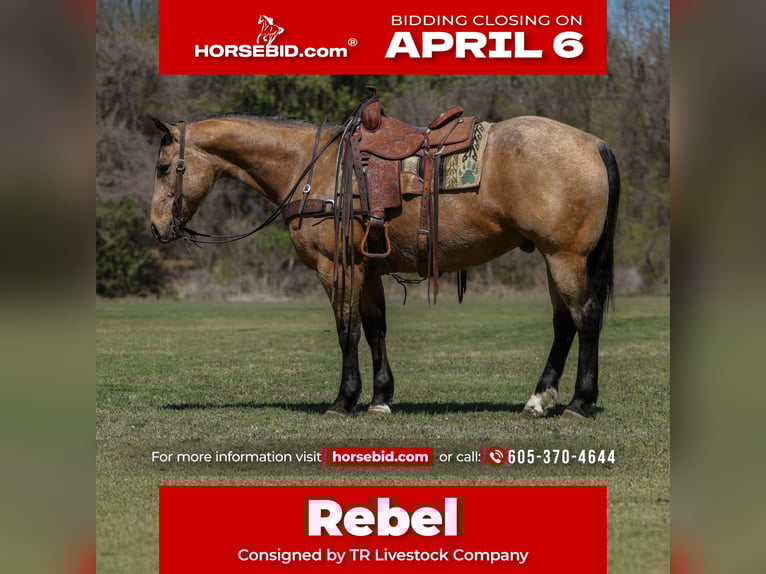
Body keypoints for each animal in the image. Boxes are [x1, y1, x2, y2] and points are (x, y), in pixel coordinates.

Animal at [149, 99, 620, 419]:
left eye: (164, 167)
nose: (155, 227)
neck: (310, 169)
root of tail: (595, 143)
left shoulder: (336, 267)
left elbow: (348, 332)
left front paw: (344, 399)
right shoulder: (368, 269)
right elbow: (375, 329)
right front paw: (379, 398)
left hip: (564, 257)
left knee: (586, 317)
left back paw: (579, 401)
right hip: (554, 258)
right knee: (564, 324)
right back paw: (539, 399)